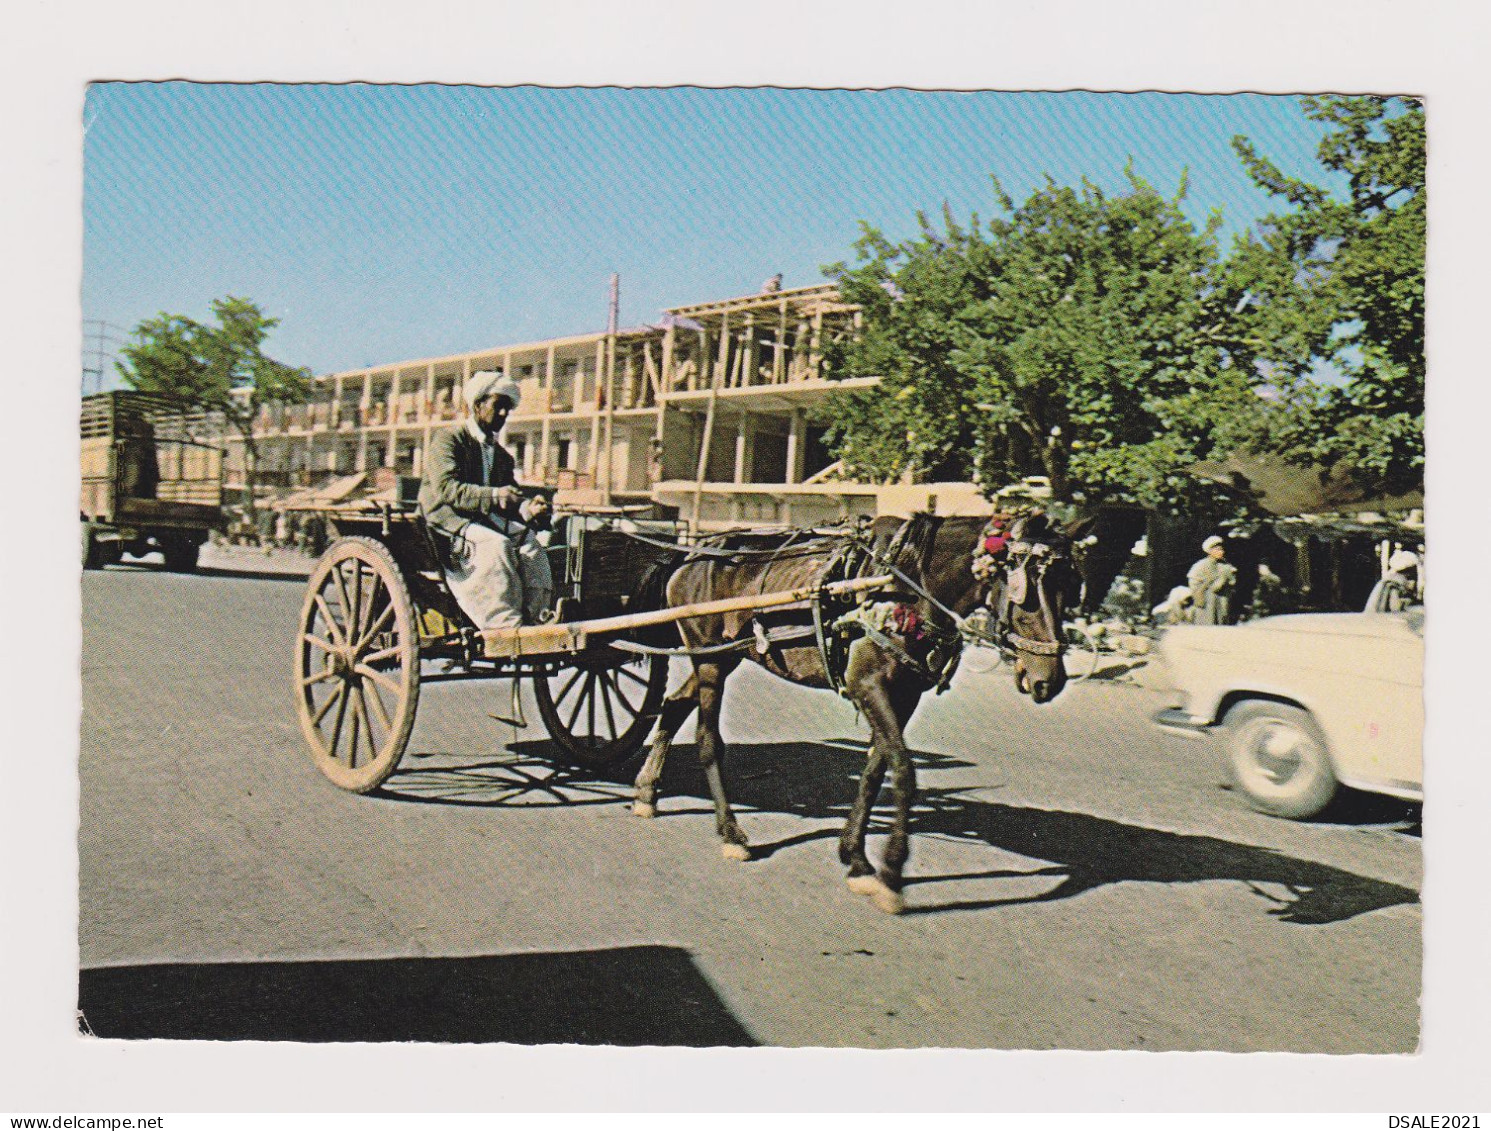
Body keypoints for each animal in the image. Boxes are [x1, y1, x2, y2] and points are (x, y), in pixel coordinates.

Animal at [626, 509, 1073, 917]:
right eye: (1026, 597)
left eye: (1067, 587)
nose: (1049, 680)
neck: (904, 583)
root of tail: (690, 555)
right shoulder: (868, 686)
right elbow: (904, 772)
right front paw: (891, 874)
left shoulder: (904, 695)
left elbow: (875, 771)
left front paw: (856, 859)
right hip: (709, 659)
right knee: (707, 740)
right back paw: (731, 834)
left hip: (722, 656)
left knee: (673, 705)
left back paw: (647, 791)